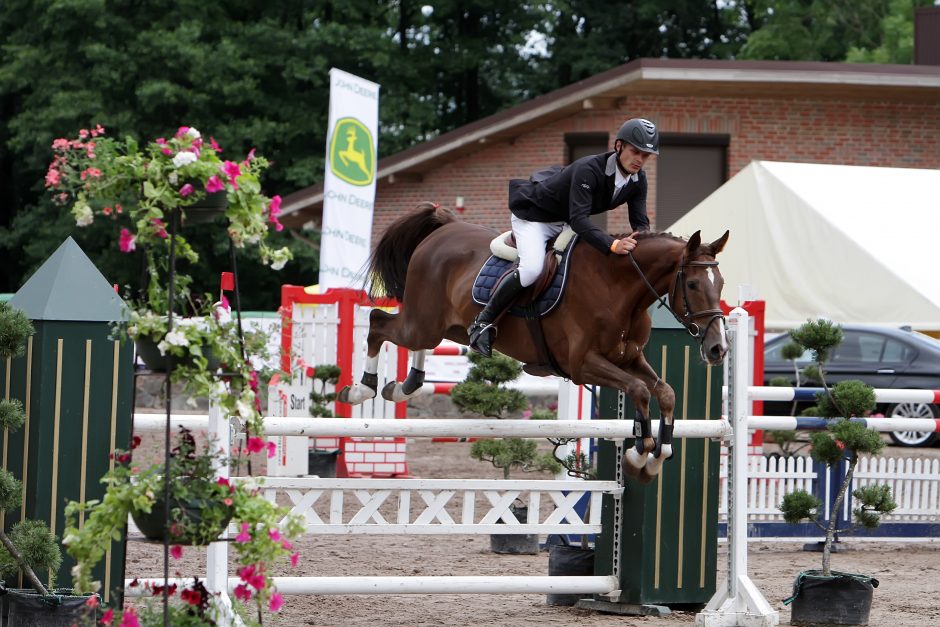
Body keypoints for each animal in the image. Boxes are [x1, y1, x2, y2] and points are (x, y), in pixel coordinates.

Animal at [342, 204, 732, 484]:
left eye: (721, 283)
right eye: (693, 285)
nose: (718, 349)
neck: (619, 288)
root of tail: (443, 227)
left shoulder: (628, 358)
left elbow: (664, 392)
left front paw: (656, 456)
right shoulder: (583, 365)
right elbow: (638, 390)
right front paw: (639, 455)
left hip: (448, 328)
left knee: (415, 339)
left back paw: (405, 385)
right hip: (422, 323)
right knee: (377, 323)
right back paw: (362, 389)